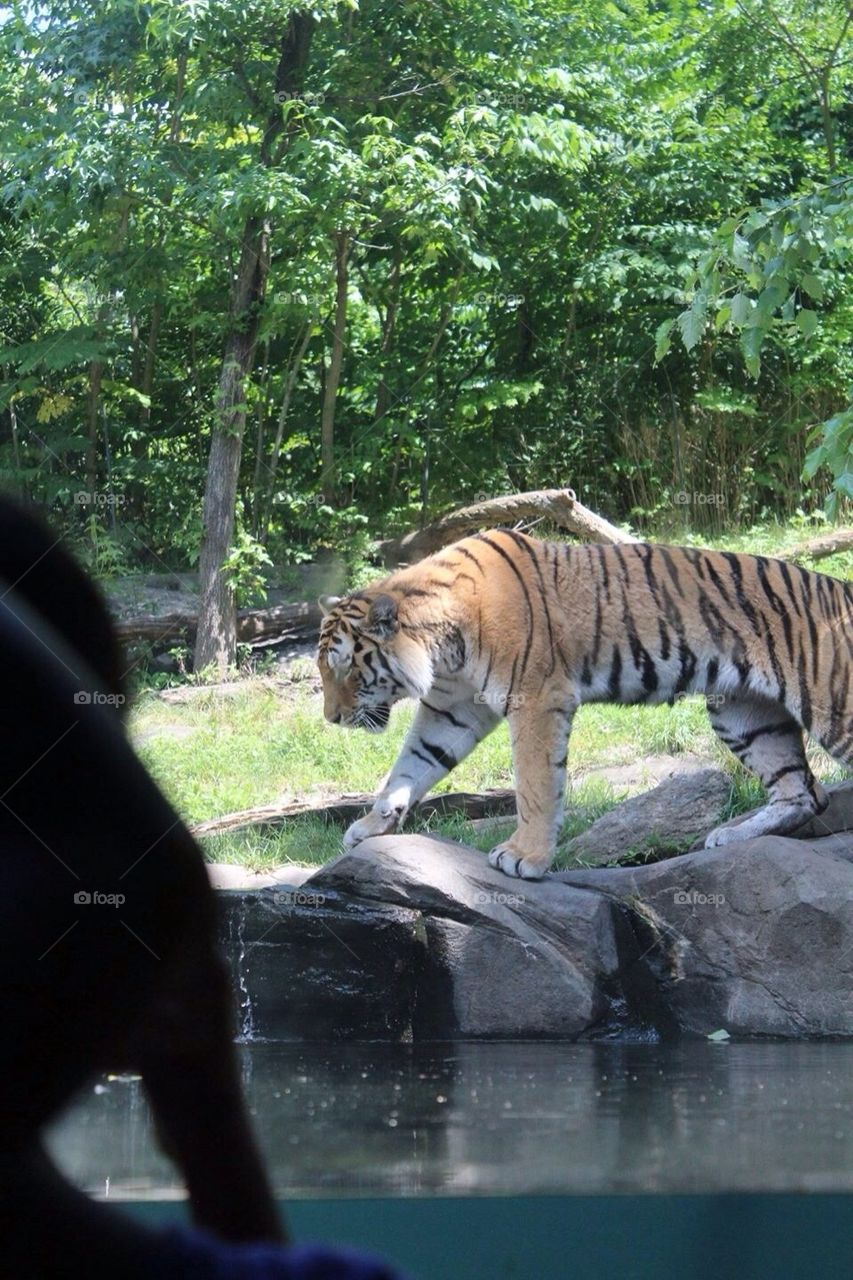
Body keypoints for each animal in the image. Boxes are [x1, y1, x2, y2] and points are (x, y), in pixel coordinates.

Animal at [317, 529, 853, 880]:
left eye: (344, 667)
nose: (331, 718)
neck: (442, 643)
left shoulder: (535, 698)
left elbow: (534, 785)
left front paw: (524, 857)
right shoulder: (453, 707)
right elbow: (410, 765)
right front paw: (370, 825)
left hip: (834, 707)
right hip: (743, 715)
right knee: (804, 793)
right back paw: (730, 836)